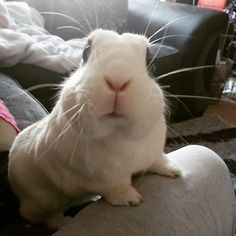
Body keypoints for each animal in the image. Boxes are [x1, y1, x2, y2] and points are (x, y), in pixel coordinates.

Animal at [7, 28, 181, 230]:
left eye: (149, 60)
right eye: (85, 52)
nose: (117, 81)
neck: (118, 132)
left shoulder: (152, 155)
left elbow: (157, 161)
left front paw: (174, 170)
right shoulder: (103, 178)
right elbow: (116, 188)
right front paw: (131, 199)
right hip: (46, 201)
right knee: (42, 217)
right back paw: (65, 221)